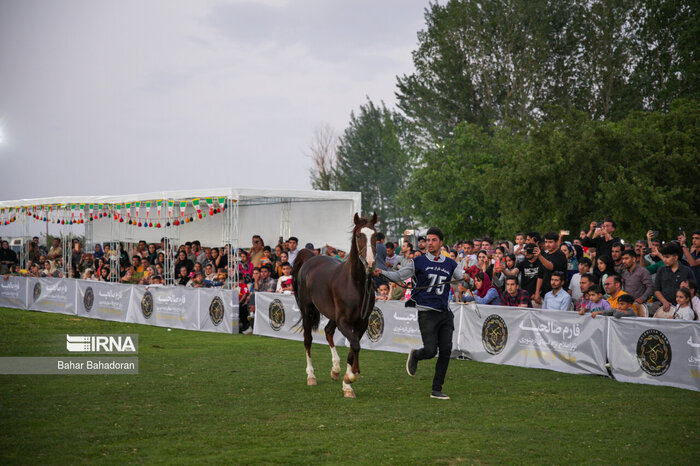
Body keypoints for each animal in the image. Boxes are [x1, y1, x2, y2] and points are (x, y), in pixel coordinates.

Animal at [292, 211, 378, 396]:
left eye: (375, 235)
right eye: (359, 235)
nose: (370, 262)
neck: (355, 284)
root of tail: (311, 258)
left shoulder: (362, 322)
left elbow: (353, 347)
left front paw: (347, 382)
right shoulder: (343, 321)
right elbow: (355, 345)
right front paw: (351, 377)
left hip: (332, 315)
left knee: (328, 331)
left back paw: (336, 370)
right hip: (308, 311)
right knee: (308, 339)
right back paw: (311, 376)